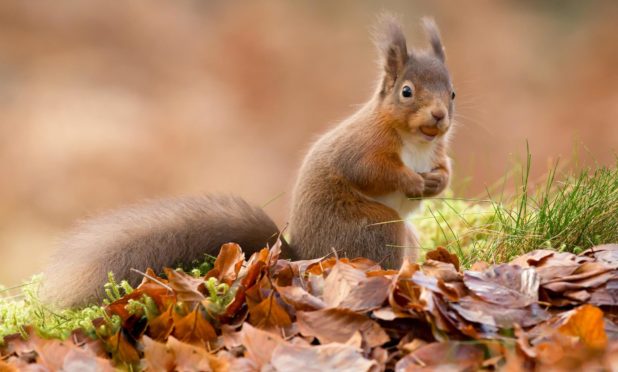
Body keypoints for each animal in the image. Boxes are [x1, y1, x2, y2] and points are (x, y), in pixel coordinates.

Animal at [39, 14, 452, 306]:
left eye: (452, 92)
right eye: (406, 92)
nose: (439, 117)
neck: (415, 140)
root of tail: (305, 257)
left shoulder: (435, 149)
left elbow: (443, 169)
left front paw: (438, 181)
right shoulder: (363, 145)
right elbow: (370, 170)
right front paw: (412, 180)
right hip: (375, 227)